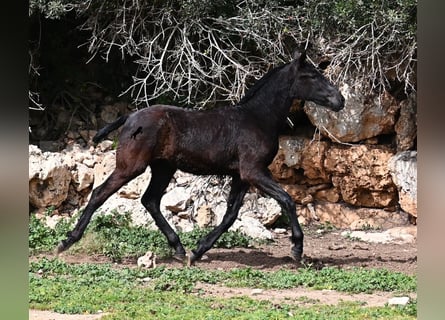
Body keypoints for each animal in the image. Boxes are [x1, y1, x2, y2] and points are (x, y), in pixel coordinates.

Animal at [58, 50, 344, 264]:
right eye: (311, 75)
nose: (339, 100)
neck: (257, 118)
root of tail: (130, 117)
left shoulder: (242, 175)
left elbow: (230, 215)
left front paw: (198, 250)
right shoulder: (254, 171)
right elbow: (286, 200)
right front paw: (297, 249)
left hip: (163, 168)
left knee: (150, 200)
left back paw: (179, 249)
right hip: (131, 166)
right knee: (100, 194)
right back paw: (67, 241)